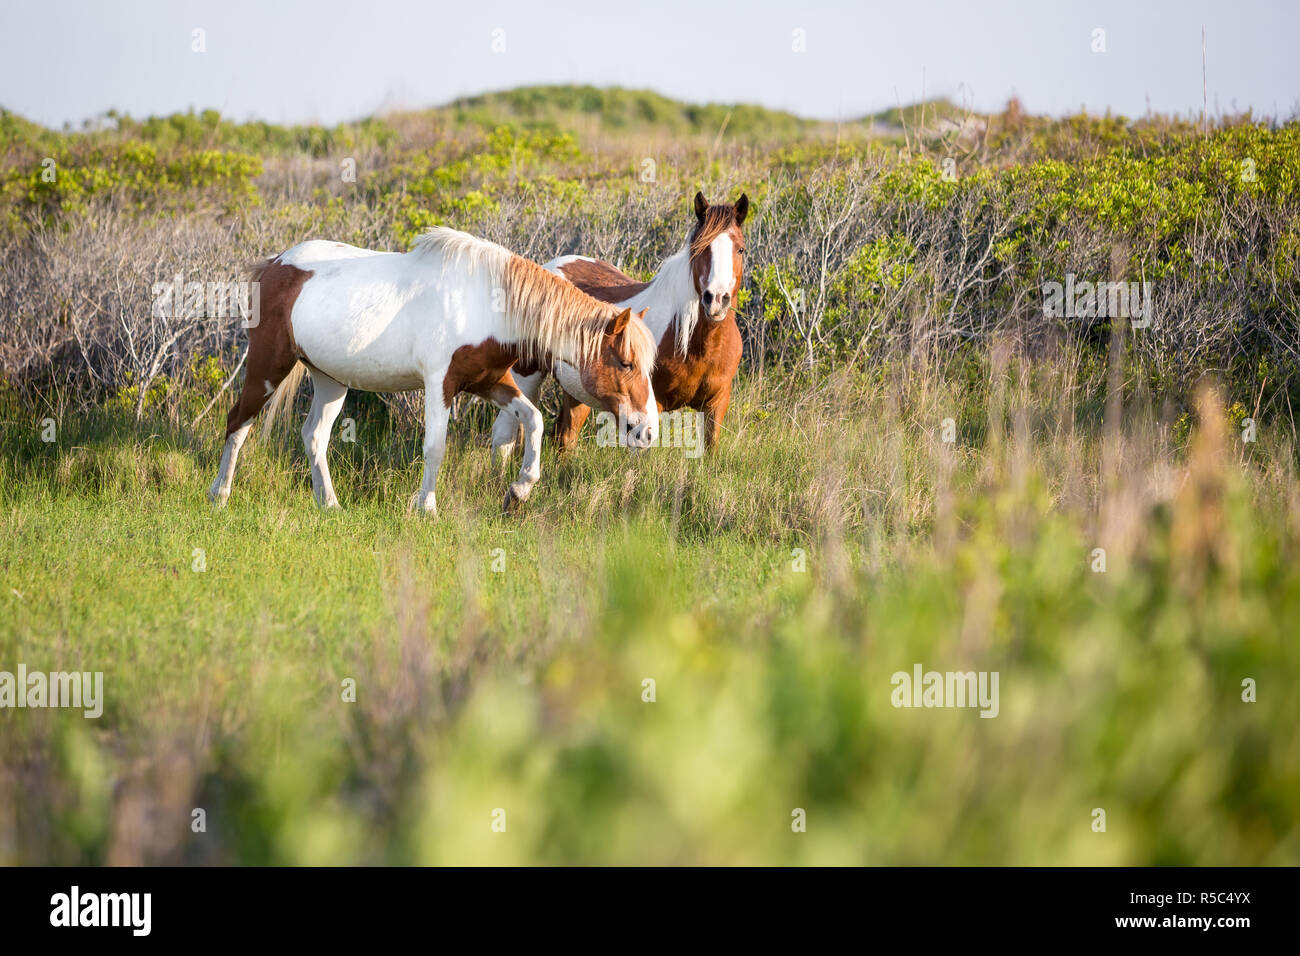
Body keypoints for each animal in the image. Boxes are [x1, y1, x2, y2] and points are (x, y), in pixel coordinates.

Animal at [214, 227, 665, 512]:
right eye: (626, 362)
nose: (647, 432)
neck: (487, 301)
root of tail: (276, 263)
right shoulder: (440, 384)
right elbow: (435, 447)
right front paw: (426, 507)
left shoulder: (490, 382)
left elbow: (533, 421)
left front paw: (518, 491)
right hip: (267, 367)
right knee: (238, 422)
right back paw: (219, 495)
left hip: (330, 381)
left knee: (314, 437)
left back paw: (329, 504)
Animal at [491, 191, 748, 460]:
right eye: (700, 249)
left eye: (740, 249)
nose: (716, 299)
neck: (695, 343)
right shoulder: (649, 405)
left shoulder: (716, 404)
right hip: (526, 375)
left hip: (576, 391)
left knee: (565, 435)